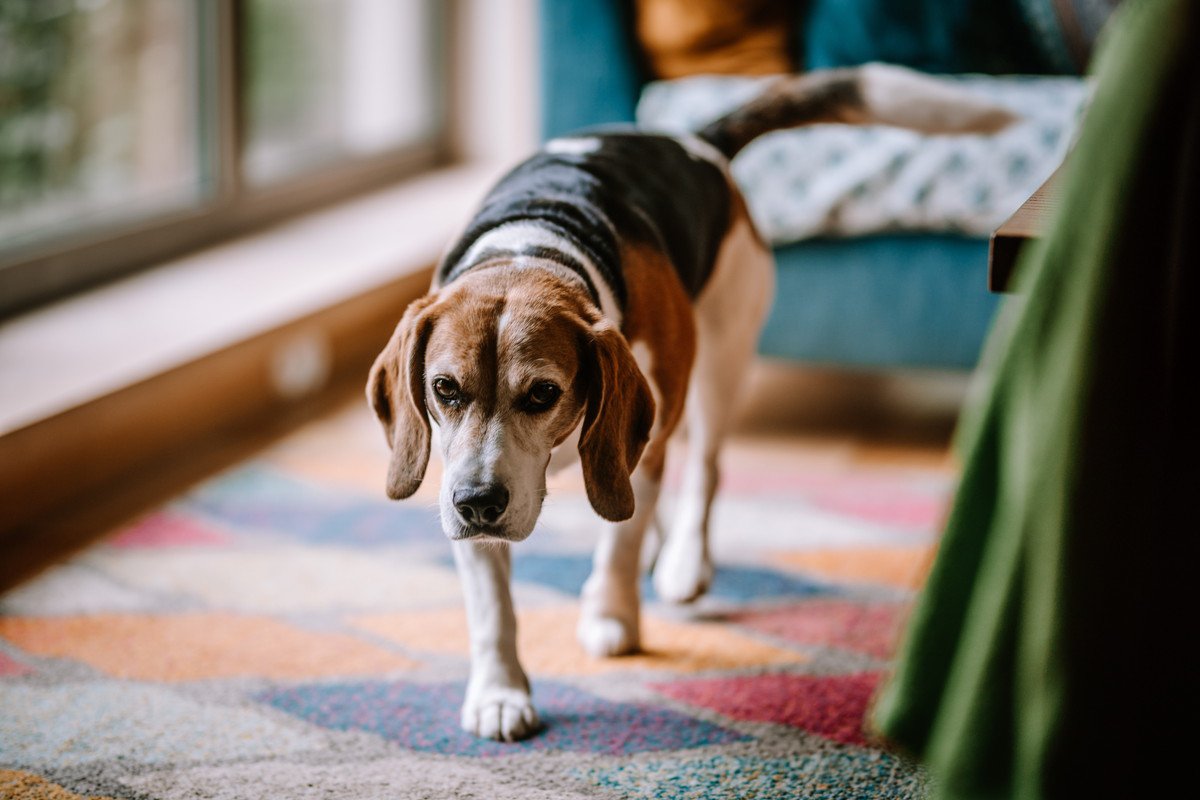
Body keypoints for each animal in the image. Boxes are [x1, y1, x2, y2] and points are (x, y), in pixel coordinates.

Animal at [369, 64, 1017, 743]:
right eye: (445, 389)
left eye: (543, 392)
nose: (477, 504)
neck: (534, 247)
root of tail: (693, 141)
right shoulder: (468, 475)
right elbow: (492, 604)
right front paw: (500, 692)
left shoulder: (637, 440)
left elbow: (620, 541)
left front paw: (612, 617)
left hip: (720, 363)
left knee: (704, 470)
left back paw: (682, 563)